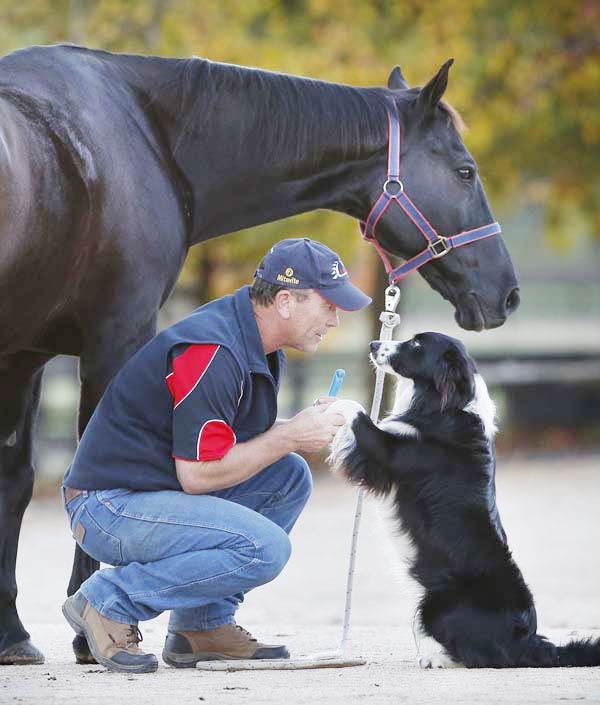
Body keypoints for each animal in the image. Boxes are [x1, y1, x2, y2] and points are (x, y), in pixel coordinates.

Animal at [0, 45, 520, 664]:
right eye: (465, 171)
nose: (507, 293)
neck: (145, 133)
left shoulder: (23, 353)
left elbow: (14, 481)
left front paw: (12, 634)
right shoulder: (114, 334)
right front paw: (84, 636)